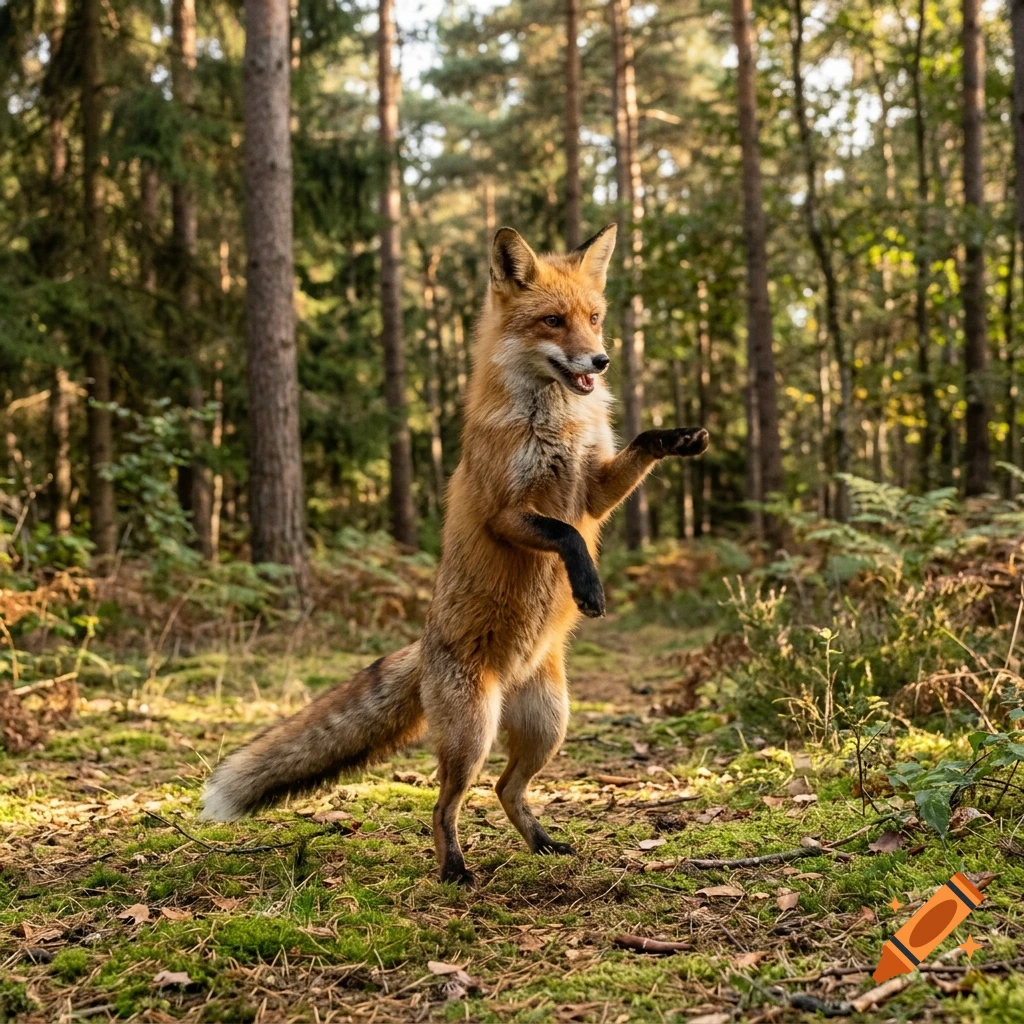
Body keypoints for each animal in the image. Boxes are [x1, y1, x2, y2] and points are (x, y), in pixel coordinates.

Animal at [200, 224, 709, 884]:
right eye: (552, 321)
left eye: (594, 319)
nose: (599, 361)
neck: (556, 422)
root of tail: (426, 645)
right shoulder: (506, 512)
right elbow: (565, 535)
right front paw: (589, 587)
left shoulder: (593, 489)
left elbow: (637, 450)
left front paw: (678, 437)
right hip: (473, 733)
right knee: (445, 806)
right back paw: (455, 870)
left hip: (549, 725)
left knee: (505, 790)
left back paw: (541, 843)